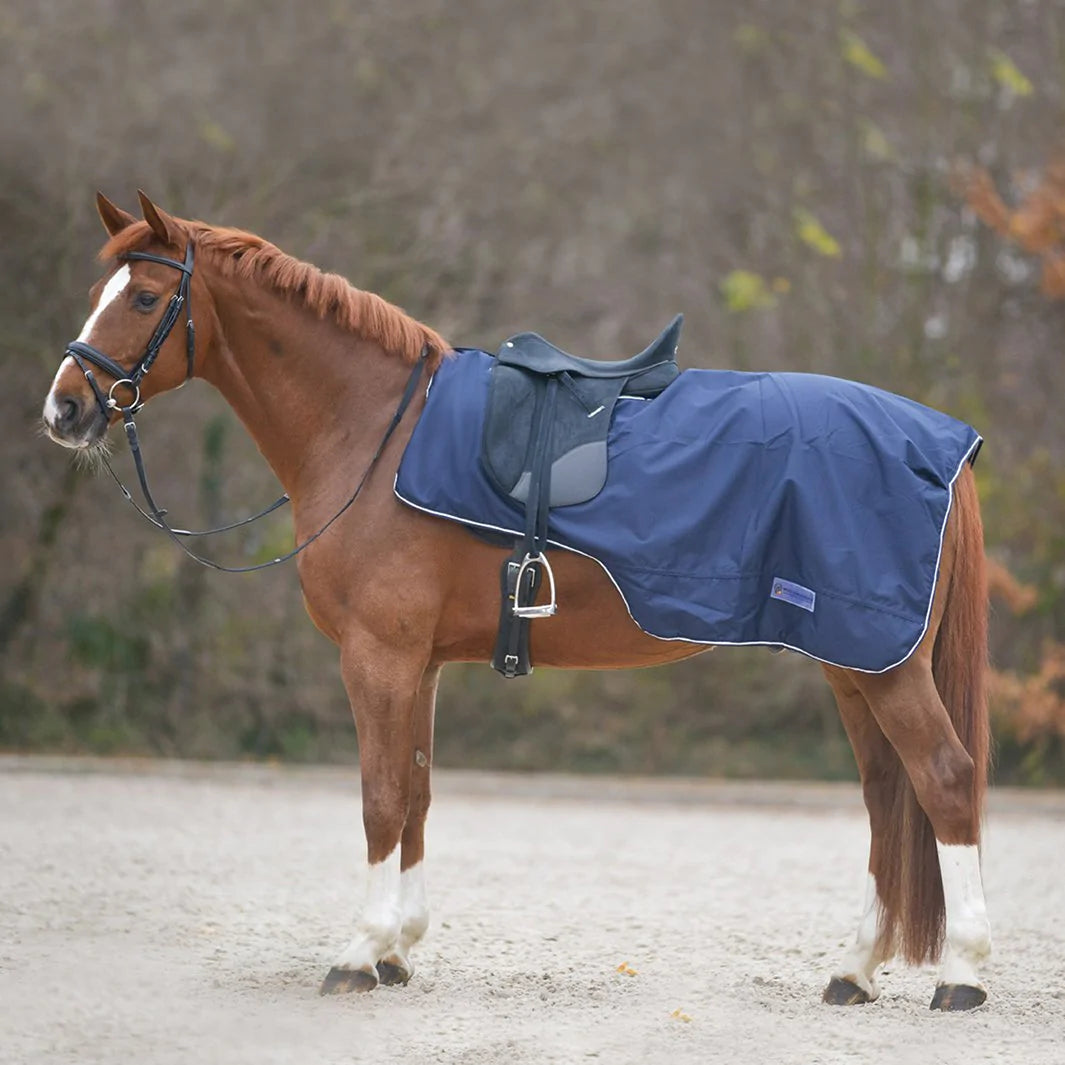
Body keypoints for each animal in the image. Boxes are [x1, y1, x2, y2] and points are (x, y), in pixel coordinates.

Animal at [42, 191, 992, 1011]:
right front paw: (397, 949)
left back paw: (962, 973)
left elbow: (379, 796)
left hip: (882, 664)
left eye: (146, 296)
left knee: (943, 780)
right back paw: (854, 968)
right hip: (850, 661)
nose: (64, 408)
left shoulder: (378, 656)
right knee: (886, 796)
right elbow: (416, 793)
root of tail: (939, 442)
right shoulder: (418, 663)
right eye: (97, 293)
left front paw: (358, 951)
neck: (373, 431)